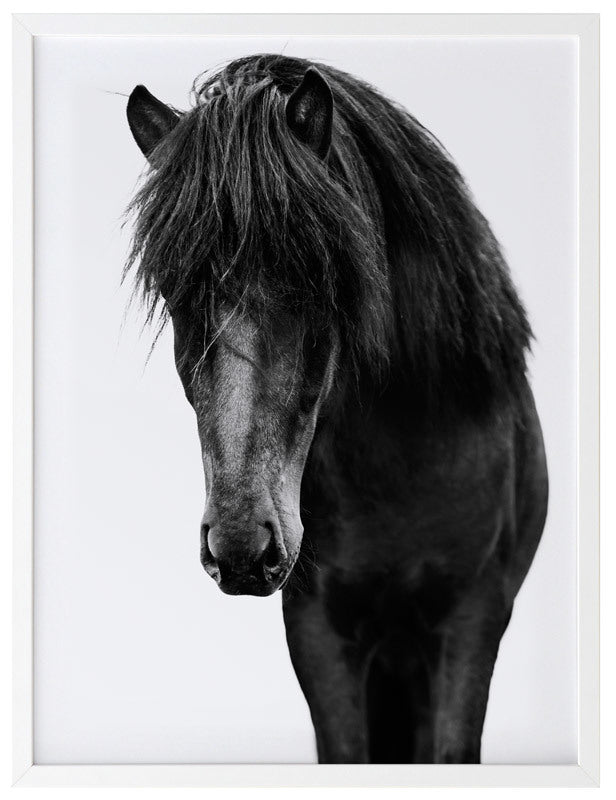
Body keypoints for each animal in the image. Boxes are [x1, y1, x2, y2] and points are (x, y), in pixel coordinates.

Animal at [124, 54, 548, 764]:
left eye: (318, 276)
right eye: (174, 289)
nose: (241, 547)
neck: (402, 467)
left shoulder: (472, 620)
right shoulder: (320, 628)